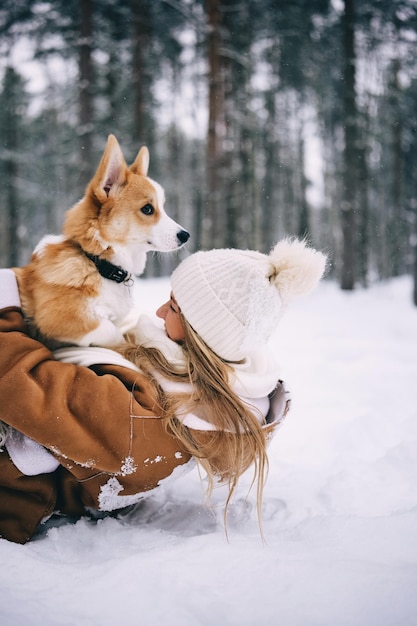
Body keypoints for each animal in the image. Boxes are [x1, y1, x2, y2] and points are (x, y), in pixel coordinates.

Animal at [13, 133, 188, 346]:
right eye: (147, 209)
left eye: (162, 206)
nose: (186, 235)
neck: (98, 263)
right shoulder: (58, 319)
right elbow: (111, 330)